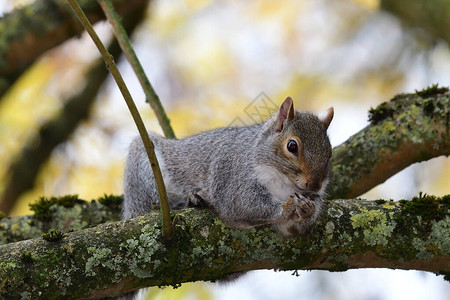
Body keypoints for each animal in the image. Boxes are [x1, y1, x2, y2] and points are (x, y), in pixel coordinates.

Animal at [124, 98, 334, 237]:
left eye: (330, 152)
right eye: (292, 146)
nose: (315, 185)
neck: (283, 182)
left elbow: (293, 227)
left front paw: (308, 209)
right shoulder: (235, 176)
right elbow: (242, 205)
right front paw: (288, 207)